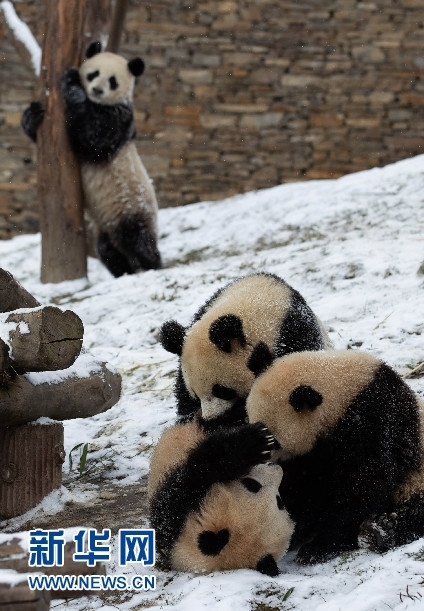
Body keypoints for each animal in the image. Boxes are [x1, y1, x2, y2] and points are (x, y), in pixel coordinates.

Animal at [21, 43, 161, 280]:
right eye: (93, 74)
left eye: (113, 81)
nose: (96, 90)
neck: (98, 103)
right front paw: (31, 116)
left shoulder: (118, 119)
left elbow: (92, 138)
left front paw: (71, 82)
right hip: (107, 225)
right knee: (106, 249)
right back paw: (124, 271)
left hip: (132, 206)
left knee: (137, 238)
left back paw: (152, 265)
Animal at [147, 416, 294, 572]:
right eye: (252, 484)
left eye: (280, 501)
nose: (277, 469)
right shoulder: (172, 518)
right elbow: (199, 469)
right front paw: (256, 441)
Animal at [245, 352, 424, 568]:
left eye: (275, 442)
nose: (262, 464)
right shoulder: (315, 454)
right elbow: (308, 487)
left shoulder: (375, 423)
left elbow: (363, 486)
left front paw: (317, 548)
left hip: (417, 481)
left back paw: (380, 530)